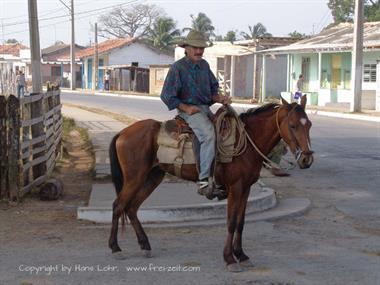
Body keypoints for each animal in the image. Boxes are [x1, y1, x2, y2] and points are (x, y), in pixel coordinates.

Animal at [108, 95, 314, 270]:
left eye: (309, 125)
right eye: (293, 125)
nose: (307, 159)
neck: (247, 143)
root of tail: (123, 133)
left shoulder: (246, 189)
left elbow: (241, 222)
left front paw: (242, 255)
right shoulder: (235, 188)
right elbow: (231, 222)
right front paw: (229, 258)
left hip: (153, 177)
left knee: (132, 208)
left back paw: (145, 246)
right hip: (135, 178)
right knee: (118, 205)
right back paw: (115, 248)